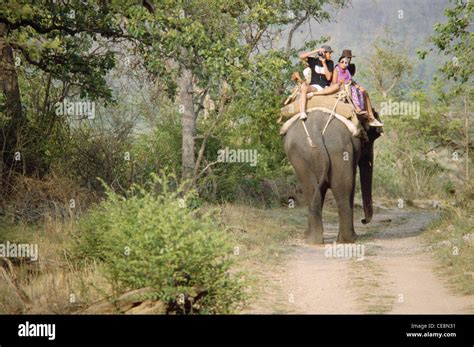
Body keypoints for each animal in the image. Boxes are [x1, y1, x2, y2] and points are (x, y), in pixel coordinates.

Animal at [282, 111, 382, 245]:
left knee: (311, 190)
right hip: (339, 150)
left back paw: (314, 240)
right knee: (343, 188)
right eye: (368, 140)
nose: (363, 220)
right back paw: (349, 239)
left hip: (301, 153)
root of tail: (316, 130)